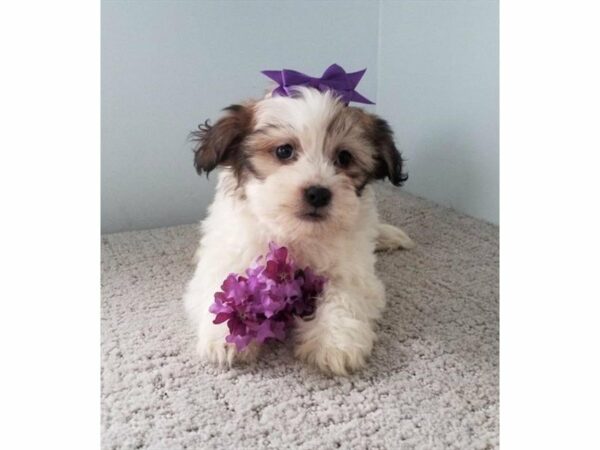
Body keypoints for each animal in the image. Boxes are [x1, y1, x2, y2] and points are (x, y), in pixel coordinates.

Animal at [185, 86, 414, 374]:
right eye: (284, 151)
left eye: (344, 157)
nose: (318, 193)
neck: (297, 234)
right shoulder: (229, 255)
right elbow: (222, 289)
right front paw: (226, 338)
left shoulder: (354, 272)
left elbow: (343, 295)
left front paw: (335, 343)